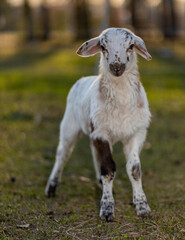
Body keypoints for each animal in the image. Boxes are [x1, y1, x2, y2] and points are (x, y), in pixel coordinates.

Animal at [44, 27, 152, 221]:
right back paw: (51, 187)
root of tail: (84, 78)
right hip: (69, 126)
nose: (116, 67)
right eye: (103, 47)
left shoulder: (136, 133)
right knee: (62, 154)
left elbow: (134, 170)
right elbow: (108, 169)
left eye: (131, 46)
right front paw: (107, 210)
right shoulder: (101, 133)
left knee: (93, 152)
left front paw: (142, 206)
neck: (121, 103)